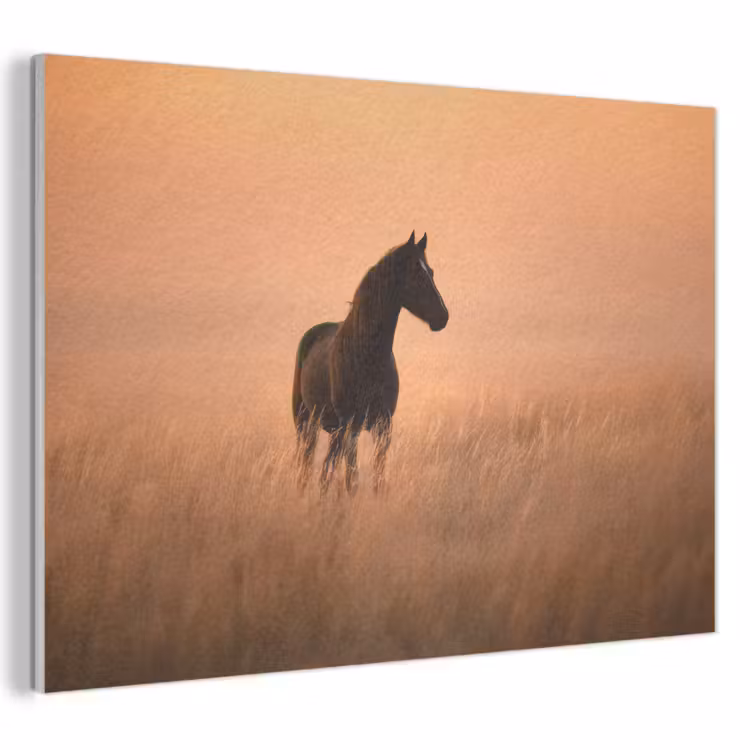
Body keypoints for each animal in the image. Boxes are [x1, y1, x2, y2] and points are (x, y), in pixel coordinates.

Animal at [292, 230, 449, 495]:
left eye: (432, 271)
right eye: (416, 274)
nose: (443, 317)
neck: (367, 356)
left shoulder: (383, 426)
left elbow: (378, 478)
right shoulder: (351, 426)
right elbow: (350, 479)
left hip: (333, 430)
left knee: (325, 469)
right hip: (307, 422)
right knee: (308, 465)